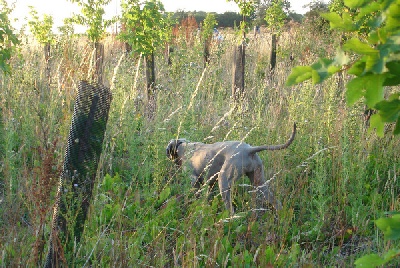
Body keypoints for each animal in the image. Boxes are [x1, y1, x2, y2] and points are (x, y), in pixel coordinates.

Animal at [165, 123, 294, 214]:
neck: (182, 146)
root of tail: (248, 150)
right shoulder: (209, 183)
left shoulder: (194, 181)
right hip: (259, 182)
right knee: (276, 202)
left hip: (224, 182)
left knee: (231, 210)